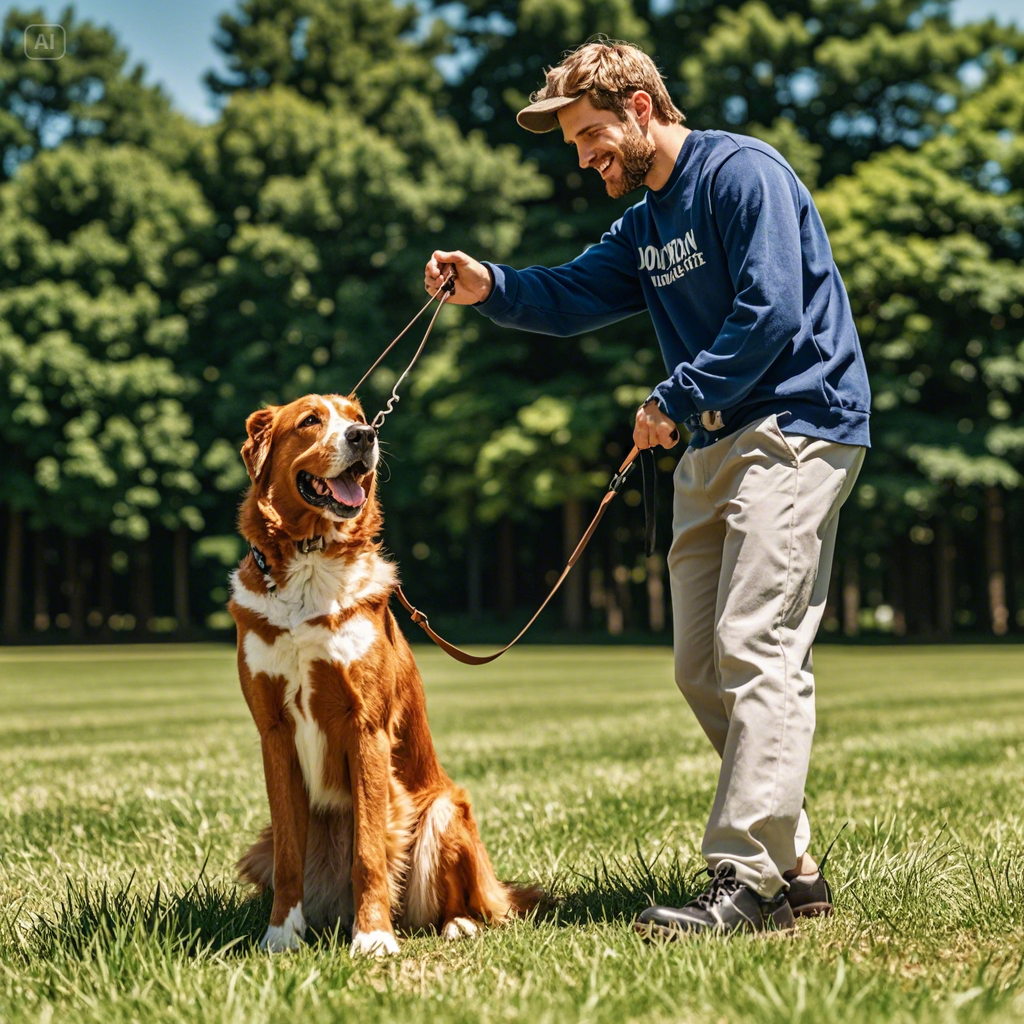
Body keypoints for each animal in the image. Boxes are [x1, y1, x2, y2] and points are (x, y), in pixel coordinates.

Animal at [227, 391, 540, 950]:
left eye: (356, 417)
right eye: (311, 421)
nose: (363, 436)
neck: (310, 565)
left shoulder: (366, 728)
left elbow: (369, 852)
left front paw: (373, 938)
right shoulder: (274, 731)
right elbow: (289, 857)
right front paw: (281, 935)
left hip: (443, 810)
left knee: (462, 904)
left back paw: (455, 924)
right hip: (259, 843)